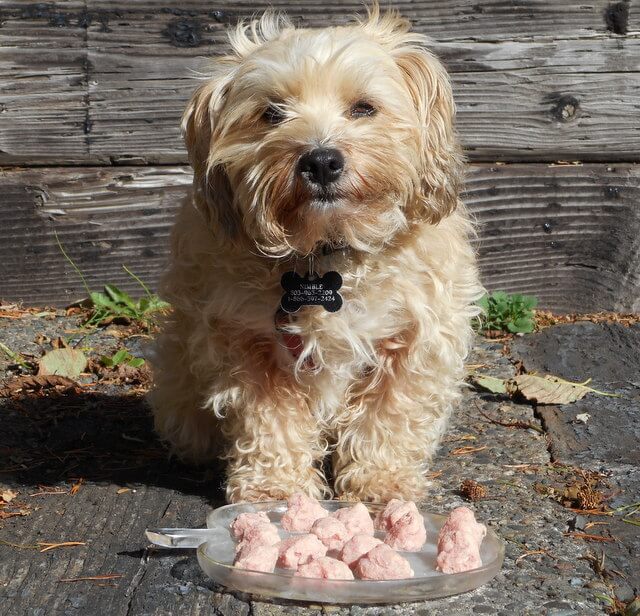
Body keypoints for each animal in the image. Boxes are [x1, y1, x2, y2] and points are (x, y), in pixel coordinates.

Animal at [149, 4, 480, 502]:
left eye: (364, 108)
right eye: (272, 113)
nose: (321, 160)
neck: (324, 255)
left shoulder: (414, 340)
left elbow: (388, 417)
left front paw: (380, 481)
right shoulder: (247, 342)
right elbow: (271, 422)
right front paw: (275, 490)